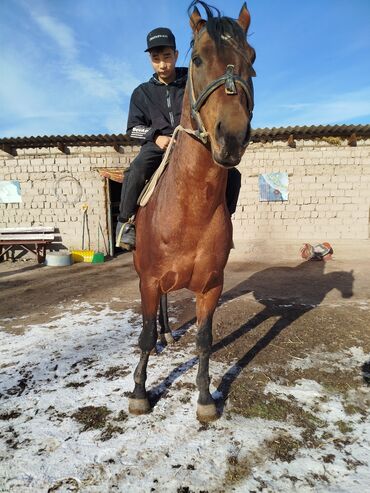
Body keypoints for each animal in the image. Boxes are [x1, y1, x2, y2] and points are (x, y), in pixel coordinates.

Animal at [129, 0, 254, 422]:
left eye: (252, 59)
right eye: (197, 59)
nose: (231, 137)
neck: (188, 210)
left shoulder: (211, 286)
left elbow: (204, 341)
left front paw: (204, 399)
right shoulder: (149, 280)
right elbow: (144, 336)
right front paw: (139, 392)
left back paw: (169, 334)